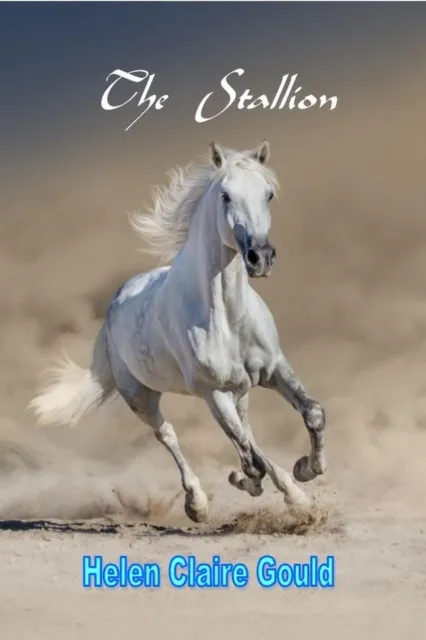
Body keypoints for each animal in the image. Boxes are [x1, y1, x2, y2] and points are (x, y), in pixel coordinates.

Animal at [29, 140, 327, 523]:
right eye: (226, 195)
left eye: (269, 194)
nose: (260, 256)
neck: (227, 317)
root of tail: (115, 304)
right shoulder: (213, 393)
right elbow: (250, 459)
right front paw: (247, 481)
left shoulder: (274, 368)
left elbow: (311, 414)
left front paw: (306, 470)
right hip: (141, 397)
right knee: (168, 434)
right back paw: (197, 503)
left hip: (240, 391)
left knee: (246, 432)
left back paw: (291, 493)